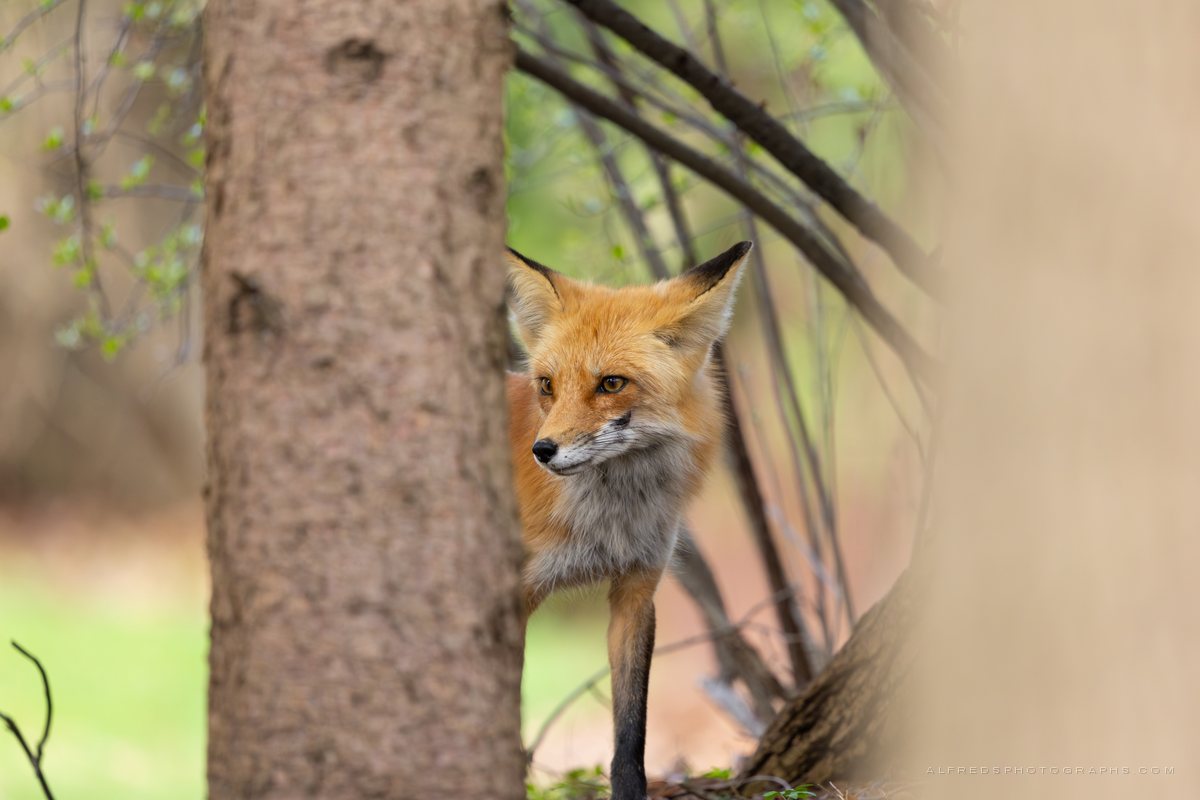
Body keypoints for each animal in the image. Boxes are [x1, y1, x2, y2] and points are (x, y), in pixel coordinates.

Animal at [506, 240, 752, 800]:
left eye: (611, 383)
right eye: (547, 385)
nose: (542, 451)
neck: (608, 520)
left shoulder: (637, 589)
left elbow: (631, 733)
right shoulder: (516, 597)